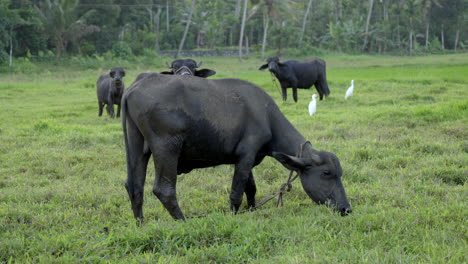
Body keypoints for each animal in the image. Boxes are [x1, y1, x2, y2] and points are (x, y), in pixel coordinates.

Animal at [122, 72, 350, 221]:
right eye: (327, 173)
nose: (346, 208)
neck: (266, 116)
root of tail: (133, 88)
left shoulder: (245, 158)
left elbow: (251, 187)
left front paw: (251, 210)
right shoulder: (246, 155)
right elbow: (236, 192)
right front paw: (234, 215)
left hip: (136, 146)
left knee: (134, 186)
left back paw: (140, 223)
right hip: (167, 148)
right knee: (164, 190)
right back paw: (183, 220)